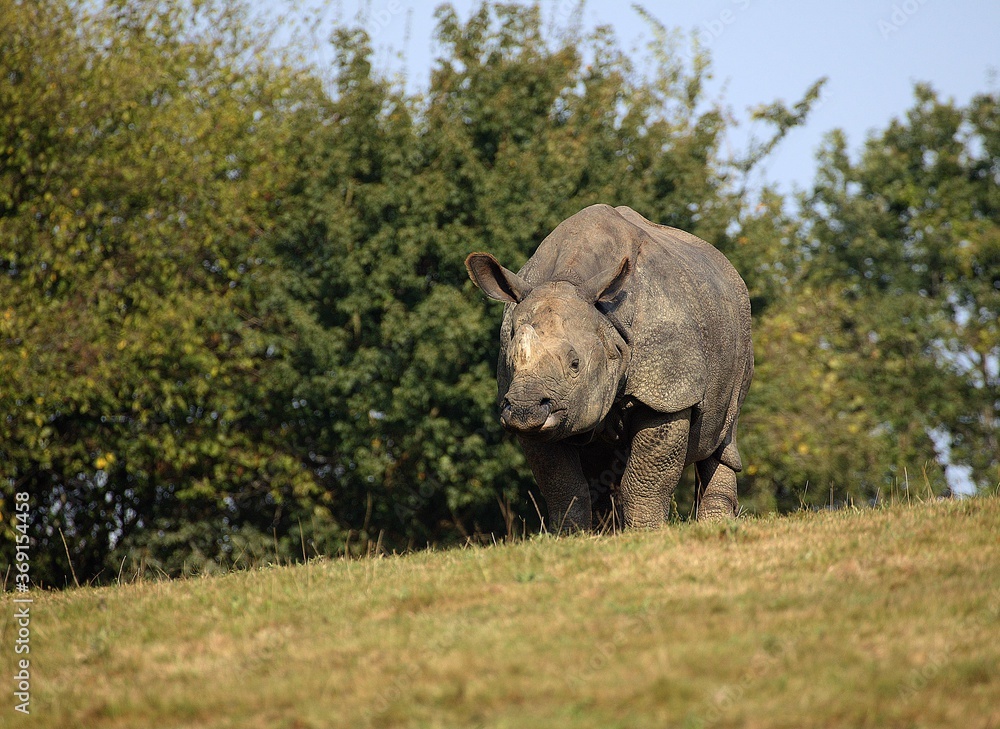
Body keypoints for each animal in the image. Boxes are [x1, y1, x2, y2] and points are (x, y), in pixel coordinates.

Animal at [465, 204, 753, 530]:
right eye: (510, 362)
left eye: (575, 364)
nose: (525, 409)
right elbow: (562, 485)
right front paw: (570, 536)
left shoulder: (668, 393)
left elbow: (647, 478)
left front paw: (647, 532)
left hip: (740, 324)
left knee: (724, 434)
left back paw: (715, 524)